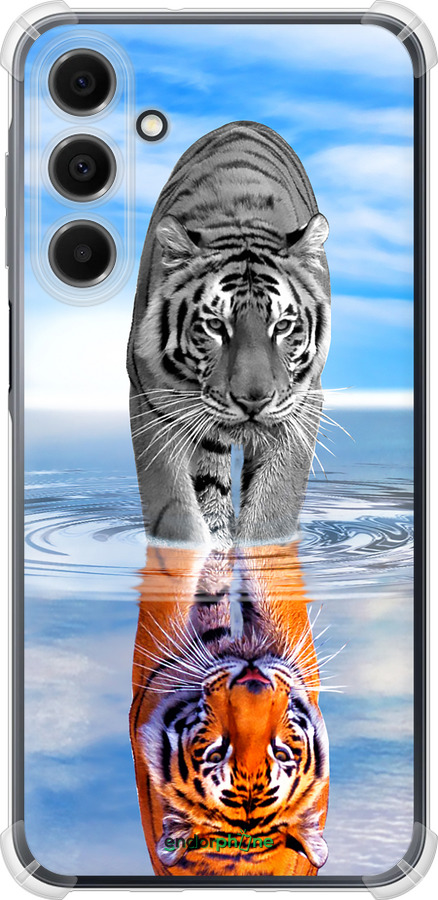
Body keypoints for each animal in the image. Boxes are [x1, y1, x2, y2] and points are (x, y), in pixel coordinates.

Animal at [127, 120, 331, 549]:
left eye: (282, 326)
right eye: (216, 326)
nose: (253, 400)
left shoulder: (302, 404)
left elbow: (273, 509)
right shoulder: (151, 401)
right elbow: (175, 511)